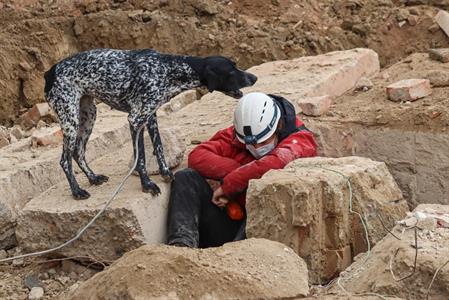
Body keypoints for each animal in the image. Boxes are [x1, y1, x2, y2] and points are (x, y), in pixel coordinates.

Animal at [45, 48, 258, 199]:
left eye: (236, 65)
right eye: (231, 70)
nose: (254, 77)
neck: (170, 69)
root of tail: (50, 71)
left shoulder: (150, 117)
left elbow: (159, 148)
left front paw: (165, 173)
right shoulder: (135, 119)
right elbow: (141, 158)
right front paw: (147, 185)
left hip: (88, 115)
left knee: (78, 152)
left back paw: (92, 177)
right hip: (70, 119)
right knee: (64, 160)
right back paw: (76, 191)